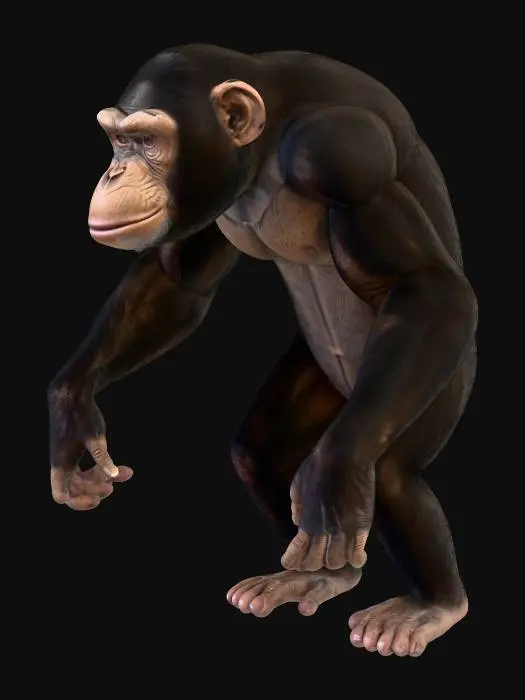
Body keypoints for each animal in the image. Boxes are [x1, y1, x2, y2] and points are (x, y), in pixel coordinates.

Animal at [48, 44, 477, 658]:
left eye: (147, 142)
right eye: (116, 140)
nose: (113, 170)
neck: (268, 140)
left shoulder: (339, 153)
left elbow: (426, 285)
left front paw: (332, 474)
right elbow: (178, 280)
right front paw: (72, 406)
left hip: (438, 373)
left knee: (390, 471)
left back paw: (430, 606)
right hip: (330, 379)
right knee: (259, 451)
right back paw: (319, 576)